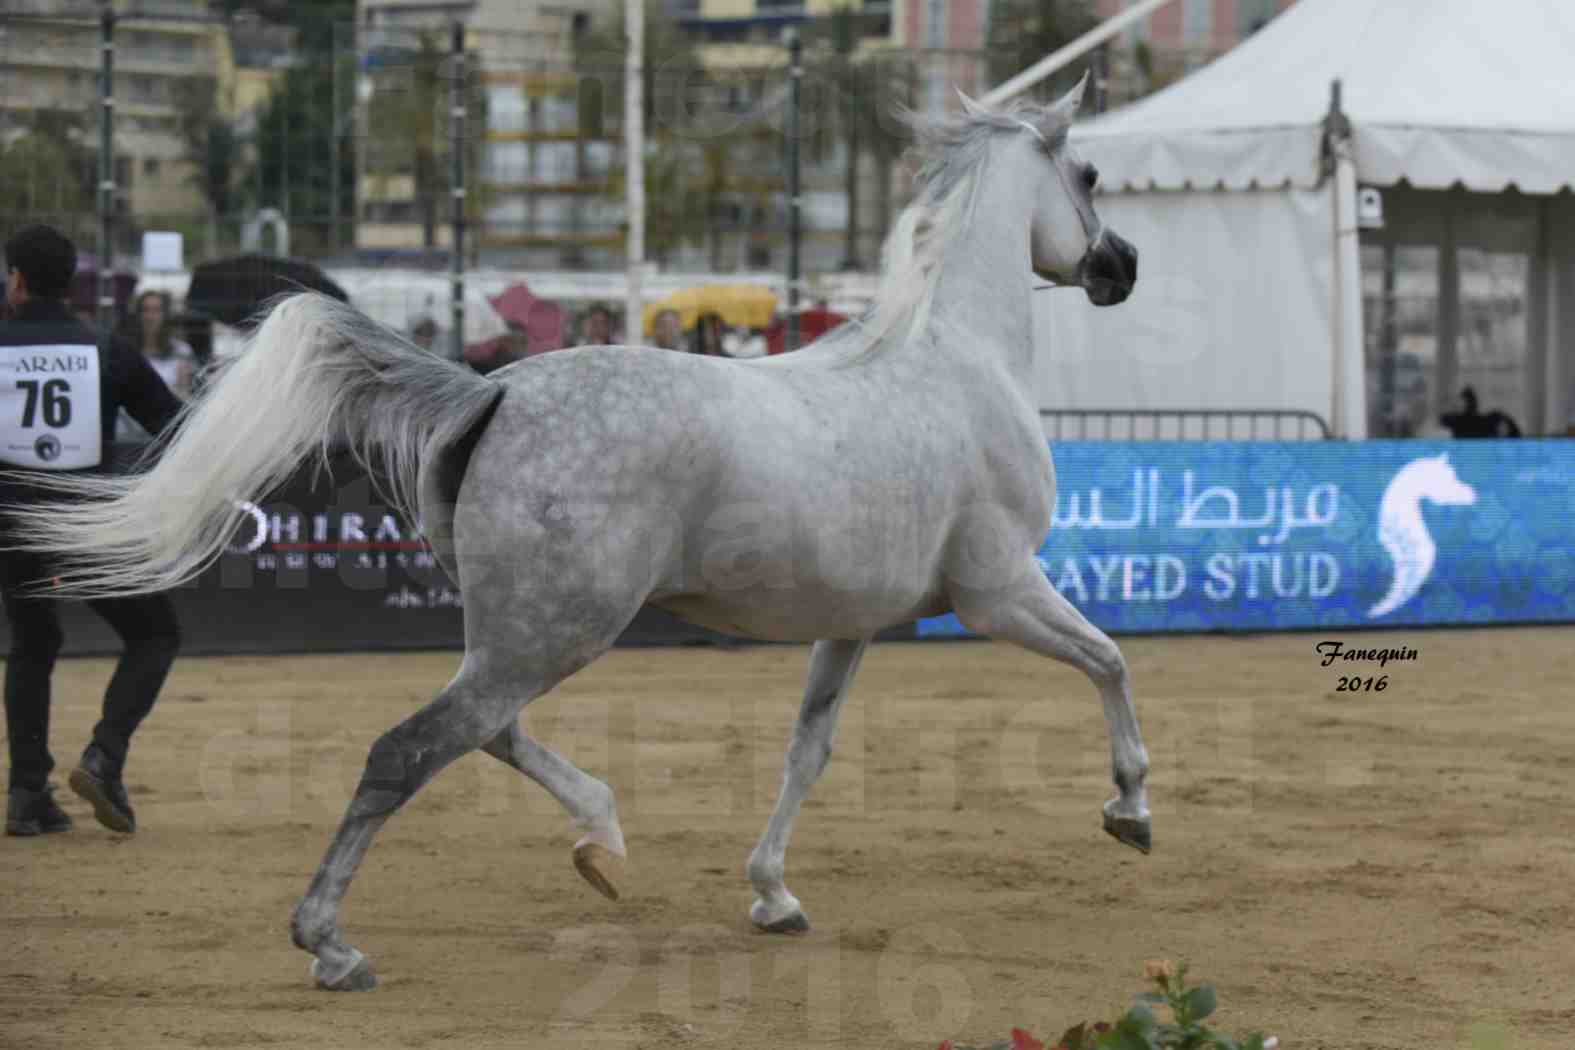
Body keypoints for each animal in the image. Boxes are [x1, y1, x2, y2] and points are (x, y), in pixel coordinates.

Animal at [6, 72, 1152, 988]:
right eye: (1090, 173)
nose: (1121, 268)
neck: (954, 357)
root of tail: (493, 390)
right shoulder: (996, 591)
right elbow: (1109, 662)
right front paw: (1130, 812)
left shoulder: (855, 622)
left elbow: (807, 752)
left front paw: (772, 896)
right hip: (560, 630)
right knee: (410, 749)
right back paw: (332, 944)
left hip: (519, 630)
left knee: (488, 731)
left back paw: (599, 840)